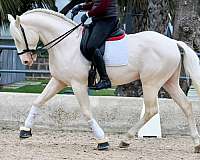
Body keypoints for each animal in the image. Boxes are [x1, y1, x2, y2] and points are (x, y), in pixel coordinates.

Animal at [8, 9, 200, 152]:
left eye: (18, 37)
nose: (26, 61)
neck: (66, 43)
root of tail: (172, 42)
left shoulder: (78, 84)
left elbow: (86, 112)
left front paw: (102, 141)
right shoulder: (59, 81)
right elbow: (38, 101)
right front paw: (25, 130)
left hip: (150, 83)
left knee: (151, 110)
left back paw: (125, 139)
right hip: (169, 82)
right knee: (186, 105)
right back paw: (196, 143)